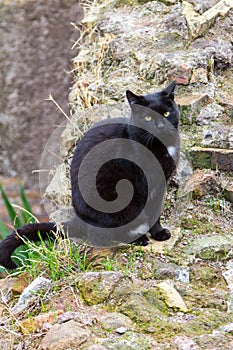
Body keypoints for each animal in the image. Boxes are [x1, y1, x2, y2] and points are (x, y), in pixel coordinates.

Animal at [0, 81, 180, 268]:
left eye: (166, 113)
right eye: (148, 119)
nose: (161, 126)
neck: (160, 147)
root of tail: (80, 220)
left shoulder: (160, 185)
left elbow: (155, 212)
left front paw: (159, 233)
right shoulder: (141, 184)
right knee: (104, 233)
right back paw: (137, 238)